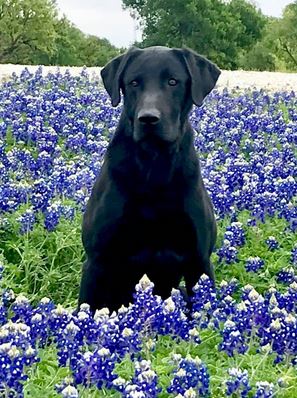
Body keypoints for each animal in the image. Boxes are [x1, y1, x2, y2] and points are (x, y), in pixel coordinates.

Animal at [77, 46, 221, 312]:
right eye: (134, 83)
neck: (153, 169)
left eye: (173, 81)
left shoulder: (199, 262)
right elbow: (86, 308)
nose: (148, 118)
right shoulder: (97, 261)